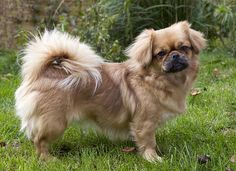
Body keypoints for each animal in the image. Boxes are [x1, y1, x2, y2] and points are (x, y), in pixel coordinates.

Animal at [14, 21, 206, 162]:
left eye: (184, 48)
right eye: (161, 53)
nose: (175, 55)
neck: (157, 79)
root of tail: (42, 73)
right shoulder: (145, 123)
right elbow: (148, 141)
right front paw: (153, 158)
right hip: (55, 122)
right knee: (39, 140)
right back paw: (48, 159)